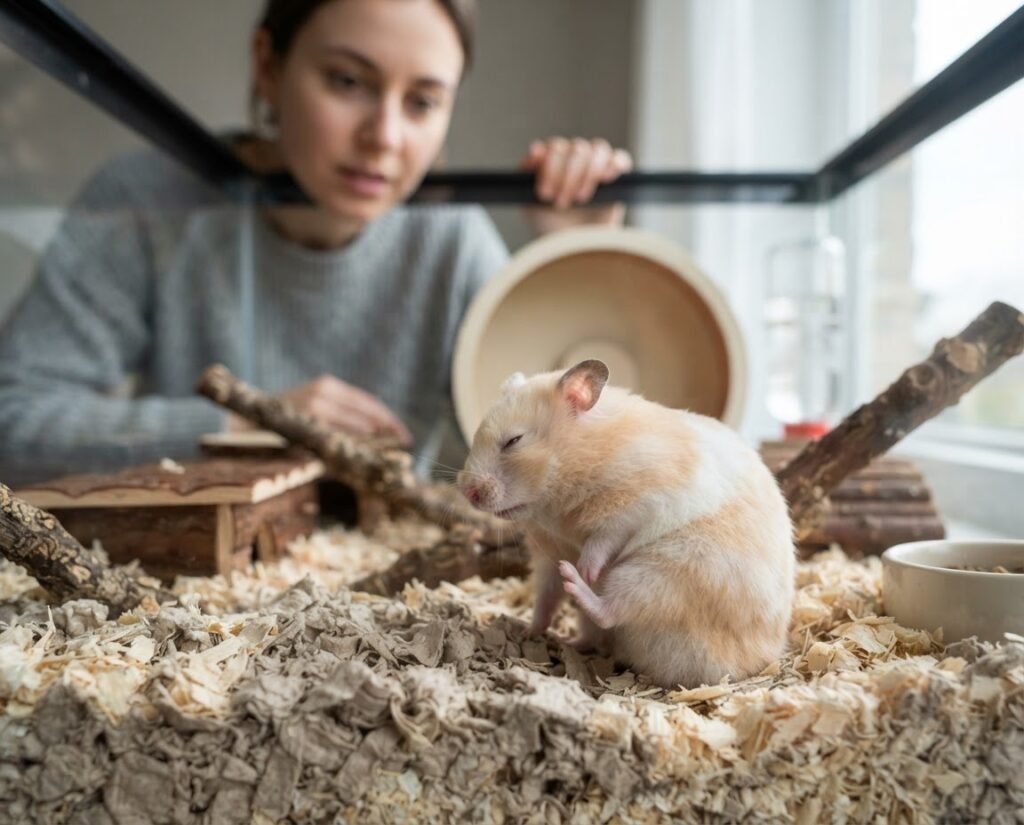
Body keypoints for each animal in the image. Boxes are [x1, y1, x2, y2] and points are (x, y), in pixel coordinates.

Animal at [456, 359, 795, 689]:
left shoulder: (643, 503)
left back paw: (576, 580)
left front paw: (586, 568)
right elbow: (546, 597)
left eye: (514, 441)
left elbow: (606, 536)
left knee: (612, 610)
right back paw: (572, 637)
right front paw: (529, 629)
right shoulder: (549, 554)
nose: (467, 492)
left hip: (665, 574)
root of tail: (750, 664)